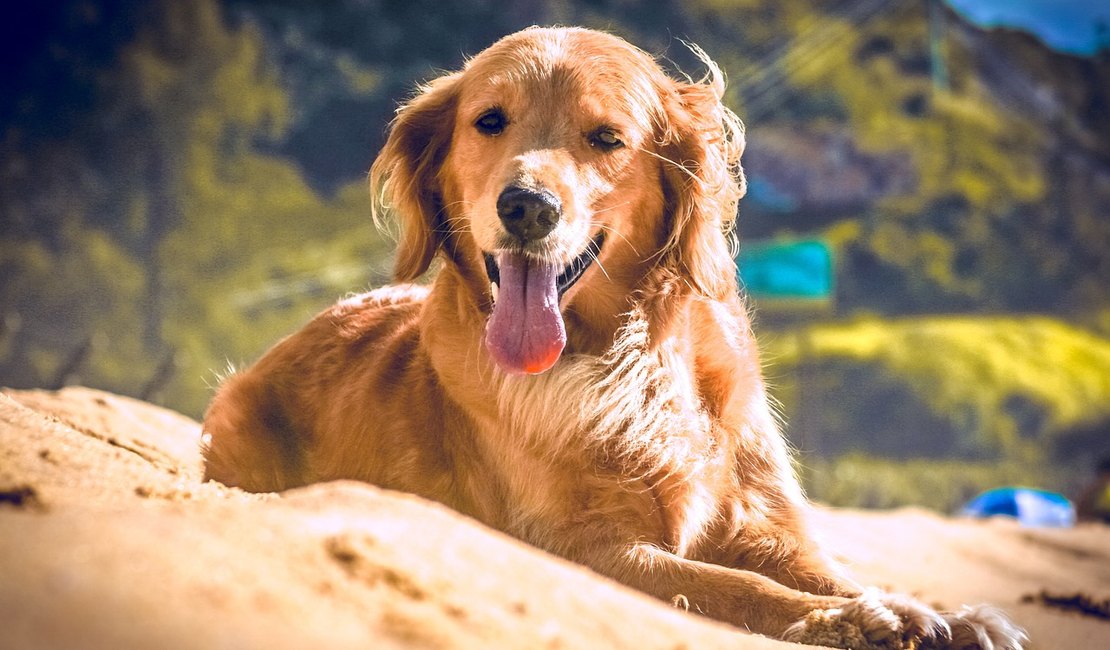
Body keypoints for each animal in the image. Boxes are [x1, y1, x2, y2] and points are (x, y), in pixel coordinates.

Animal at [204, 26, 1025, 647]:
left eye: (606, 138)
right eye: (489, 121)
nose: (526, 207)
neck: (628, 360)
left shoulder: (762, 519)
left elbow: (827, 569)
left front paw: (941, 613)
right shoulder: (580, 545)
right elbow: (731, 585)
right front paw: (849, 620)